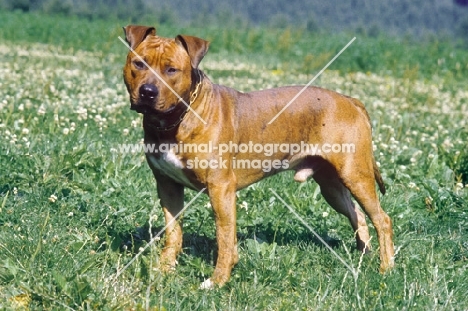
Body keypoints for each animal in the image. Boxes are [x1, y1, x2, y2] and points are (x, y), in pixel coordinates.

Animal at [122, 25, 394, 290]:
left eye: (171, 70)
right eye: (139, 64)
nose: (148, 92)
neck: (179, 117)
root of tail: (351, 100)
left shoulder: (220, 189)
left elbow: (224, 237)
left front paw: (218, 280)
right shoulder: (167, 185)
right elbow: (173, 231)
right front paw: (164, 269)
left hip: (355, 175)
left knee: (382, 219)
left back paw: (386, 268)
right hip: (332, 186)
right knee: (358, 215)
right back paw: (364, 256)